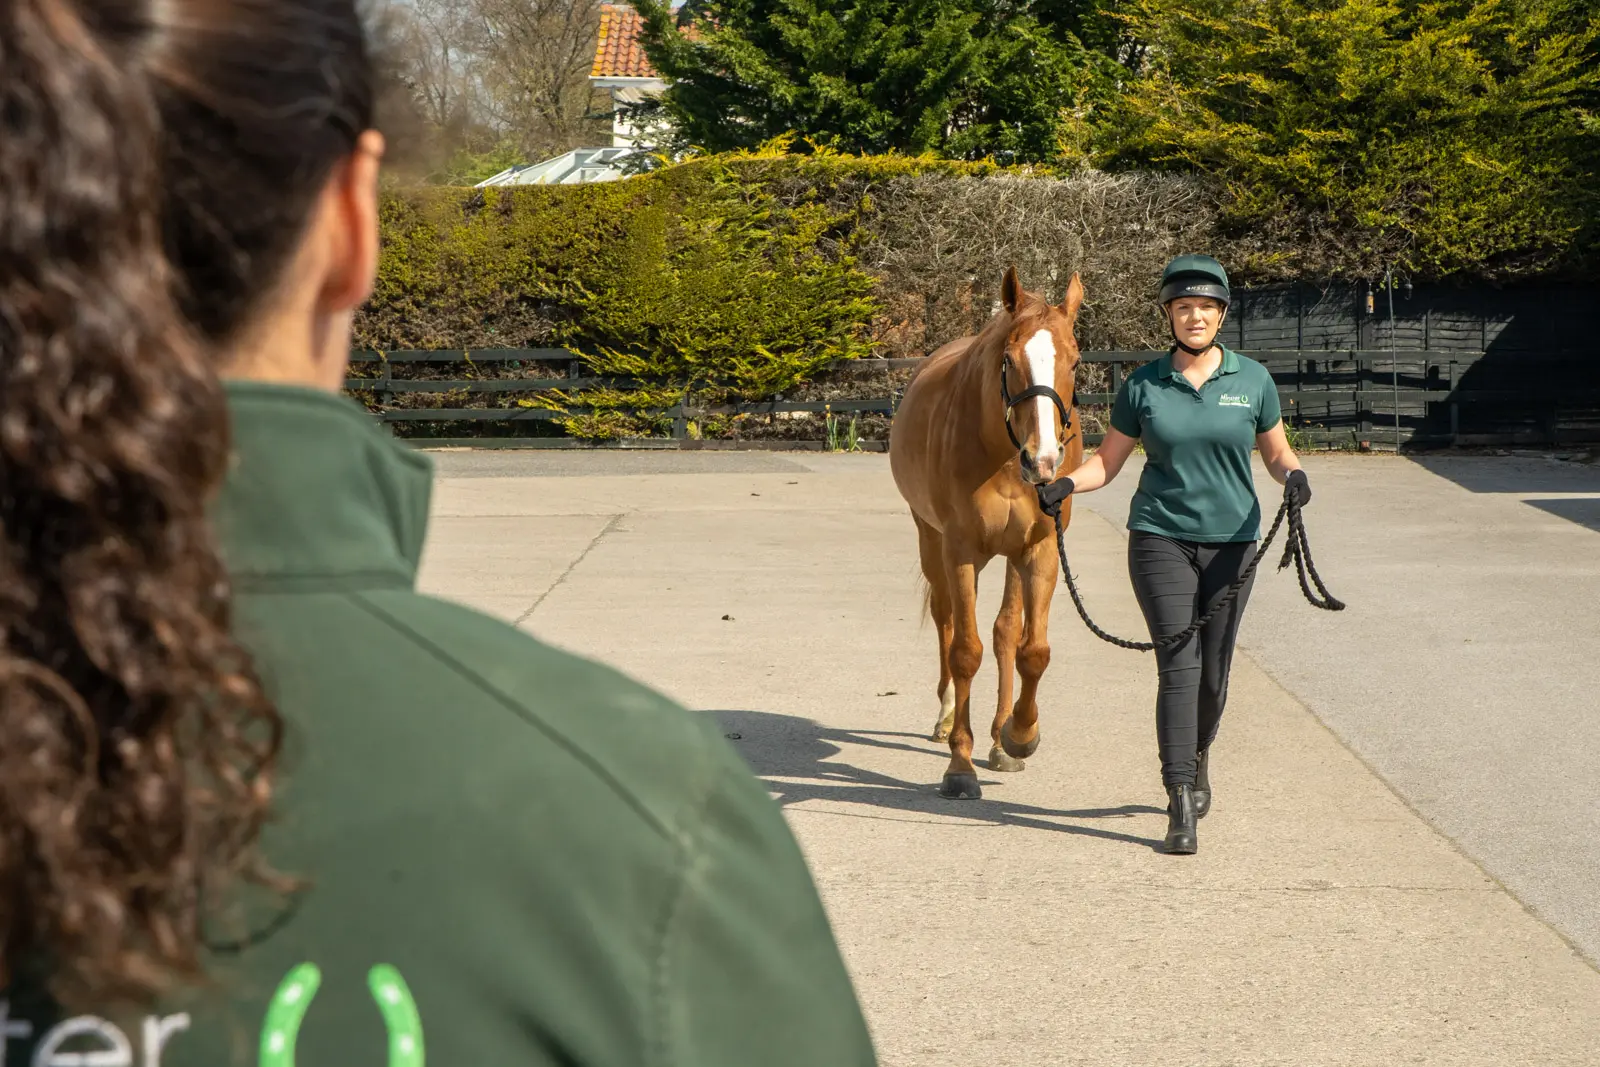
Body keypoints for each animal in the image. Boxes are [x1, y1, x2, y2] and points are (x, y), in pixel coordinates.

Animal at [889, 267, 1088, 799]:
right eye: (1009, 359)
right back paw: (945, 718)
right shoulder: (960, 551)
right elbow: (965, 652)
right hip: (929, 541)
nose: (1044, 460)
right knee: (946, 621)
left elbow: (1029, 650)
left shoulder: (1038, 550)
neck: (1002, 455)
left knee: (1003, 633)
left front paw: (1018, 735)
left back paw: (1000, 736)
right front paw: (960, 765)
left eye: (1075, 359)